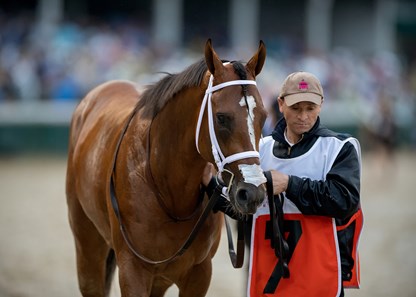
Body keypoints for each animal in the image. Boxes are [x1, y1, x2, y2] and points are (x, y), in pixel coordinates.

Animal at [65, 40, 266, 296]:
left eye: (264, 116)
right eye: (221, 117)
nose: (252, 192)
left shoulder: (199, 272)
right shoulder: (132, 269)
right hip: (88, 246)